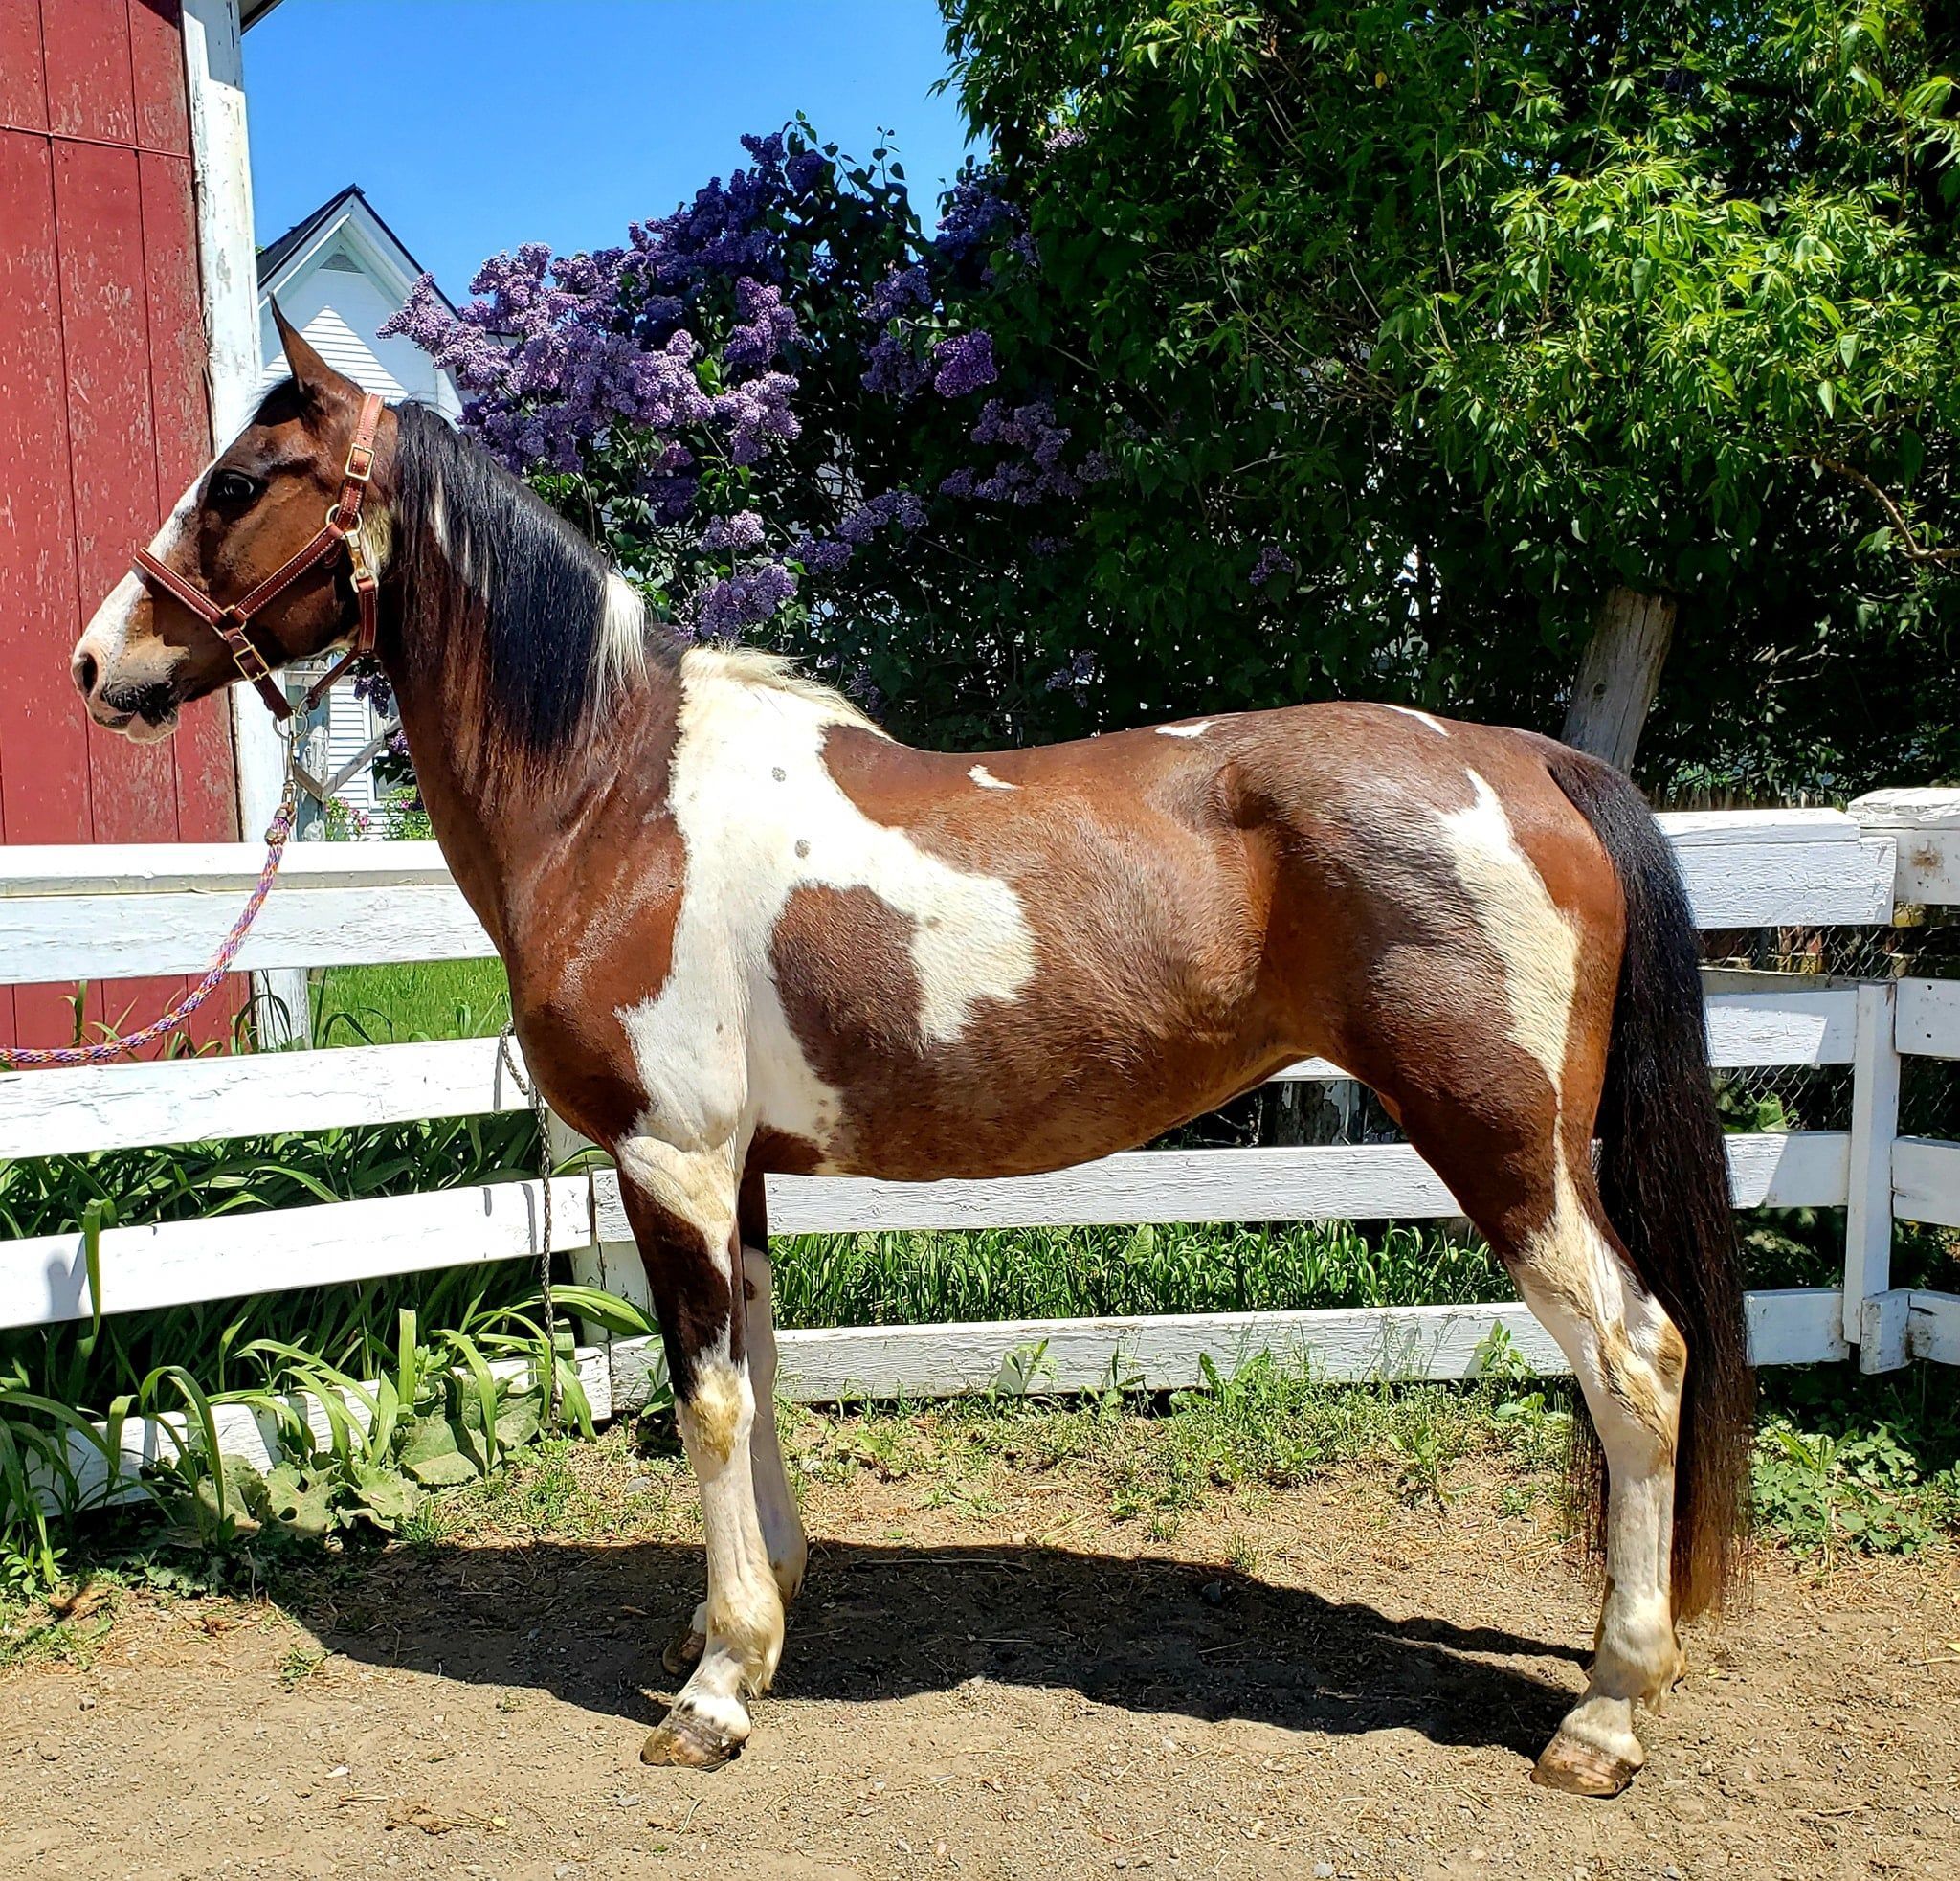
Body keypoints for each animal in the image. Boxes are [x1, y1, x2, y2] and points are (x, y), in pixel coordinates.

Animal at [71, 305, 1753, 1795]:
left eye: (238, 482)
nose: (97, 665)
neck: (613, 796)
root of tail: (1528, 759)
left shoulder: (671, 1160)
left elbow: (706, 1396)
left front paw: (714, 1693)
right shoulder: (731, 1172)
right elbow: (754, 1363)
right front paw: (753, 1620)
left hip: (1503, 1144)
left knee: (1640, 1357)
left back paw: (1607, 1713)